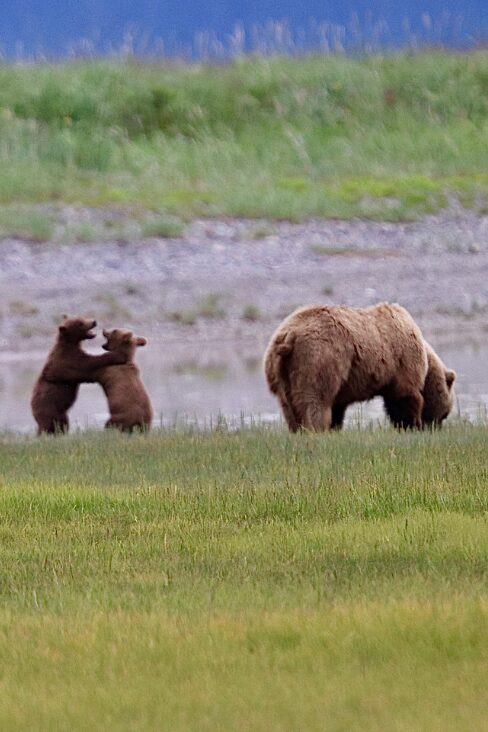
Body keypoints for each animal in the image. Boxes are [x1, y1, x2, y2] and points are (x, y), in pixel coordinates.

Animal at [264, 303, 429, 432]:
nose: (425, 425)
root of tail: (290, 337)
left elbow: (338, 407)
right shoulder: (402, 360)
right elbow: (404, 395)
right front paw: (410, 424)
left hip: (279, 369)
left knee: (288, 406)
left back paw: (299, 429)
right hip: (318, 358)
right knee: (316, 400)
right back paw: (316, 429)